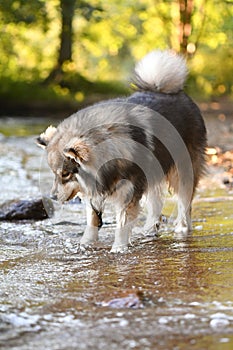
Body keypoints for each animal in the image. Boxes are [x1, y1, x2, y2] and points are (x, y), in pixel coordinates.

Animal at [36, 50, 206, 252]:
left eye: (65, 174)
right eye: (55, 174)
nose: (52, 197)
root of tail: (165, 89)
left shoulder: (129, 193)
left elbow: (122, 224)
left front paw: (118, 248)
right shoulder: (96, 195)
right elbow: (92, 221)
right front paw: (86, 244)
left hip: (183, 172)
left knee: (184, 204)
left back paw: (182, 229)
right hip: (153, 173)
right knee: (156, 204)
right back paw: (149, 231)